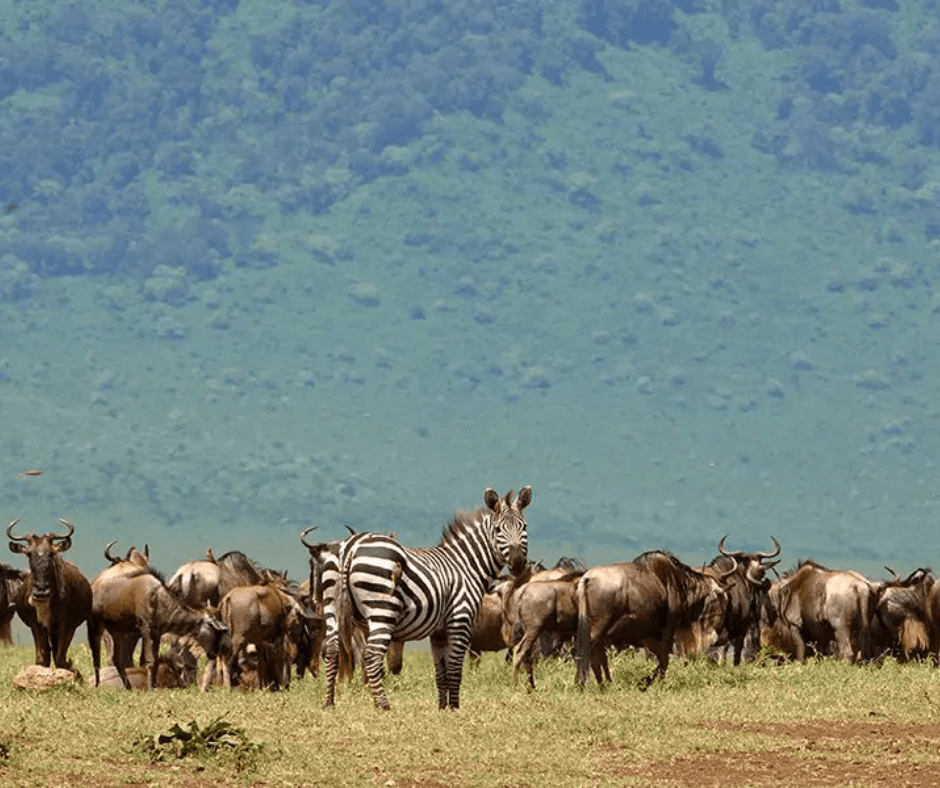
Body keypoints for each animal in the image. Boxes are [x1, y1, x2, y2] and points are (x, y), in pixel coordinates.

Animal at [321, 486, 532, 710]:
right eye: (499, 530)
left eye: (524, 527)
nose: (518, 563)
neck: (466, 565)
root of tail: (351, 546)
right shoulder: (460, 619)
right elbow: (455, 668)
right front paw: (454, 707)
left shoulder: (438, 632)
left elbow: (441, 671)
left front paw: (442, 707)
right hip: (382, 610)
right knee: (372, 655)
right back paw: (383, 705)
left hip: (332, 606)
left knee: (333, 650)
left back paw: (329, 703)